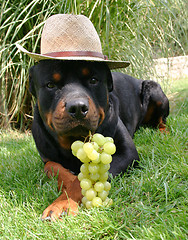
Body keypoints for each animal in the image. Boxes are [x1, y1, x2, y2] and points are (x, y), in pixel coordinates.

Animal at [29, 59, 169, 219]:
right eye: (50, 85)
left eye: (93, 80)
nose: (77, 107)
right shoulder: (46, 154)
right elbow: (51, 166)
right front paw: (67, 180)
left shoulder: (127, 153)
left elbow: (83, 181)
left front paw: (62, 203)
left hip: (154, 90)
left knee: (162, 121)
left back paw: (163, 132)